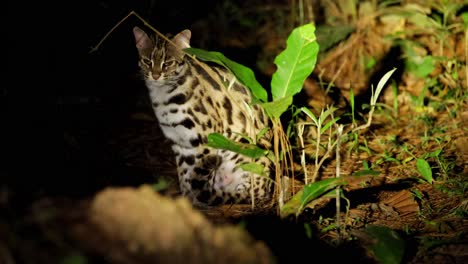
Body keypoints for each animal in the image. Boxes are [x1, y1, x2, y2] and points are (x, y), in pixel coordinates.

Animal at [131, 26, 270, 206]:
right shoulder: (179, 142)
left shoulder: (206, 138)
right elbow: (184, 175)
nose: (155, 75)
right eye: (147, 61)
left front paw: (195, 200)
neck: (164, 97)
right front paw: (186, 199)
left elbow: (196, 174)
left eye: (168, 63)